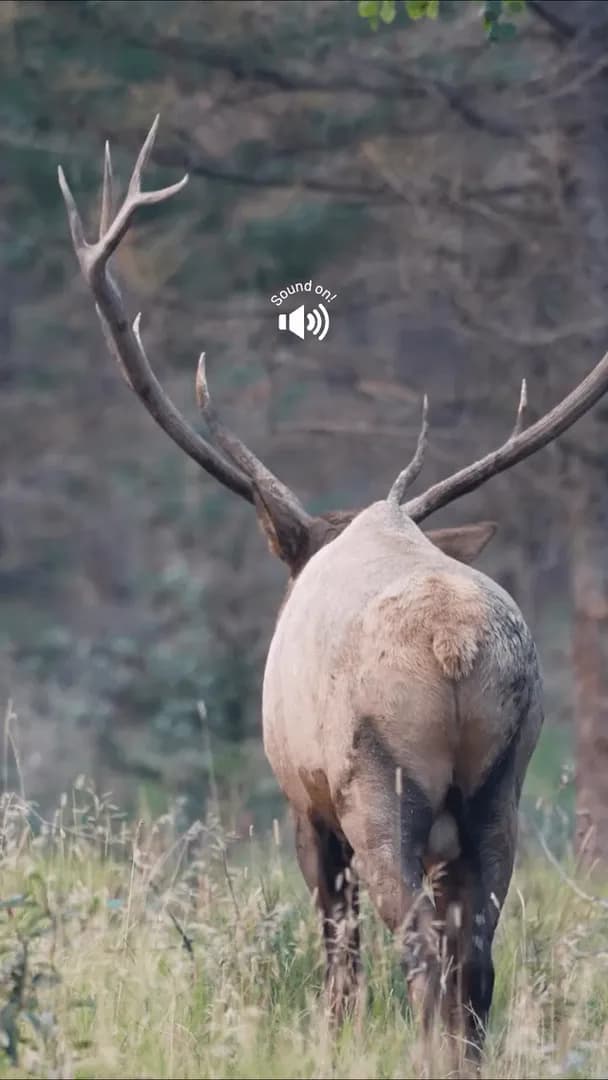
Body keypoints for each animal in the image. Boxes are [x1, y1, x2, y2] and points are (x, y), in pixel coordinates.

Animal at [58, 118, 608, 1063]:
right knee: (476, 958)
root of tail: (453, 645)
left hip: (376, 785)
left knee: (414, 947)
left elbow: (335, 946)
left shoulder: (302, 802)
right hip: (503, 784)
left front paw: (333, 1035)